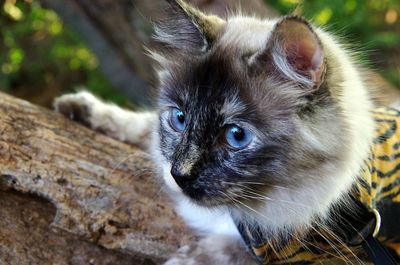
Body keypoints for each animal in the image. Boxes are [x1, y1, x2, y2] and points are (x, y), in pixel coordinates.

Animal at [54, 1, 400, 262]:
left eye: (236, 136)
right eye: (179, 119)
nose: (179, 175)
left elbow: (217, 251)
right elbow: (140, 125)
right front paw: (81, 107)